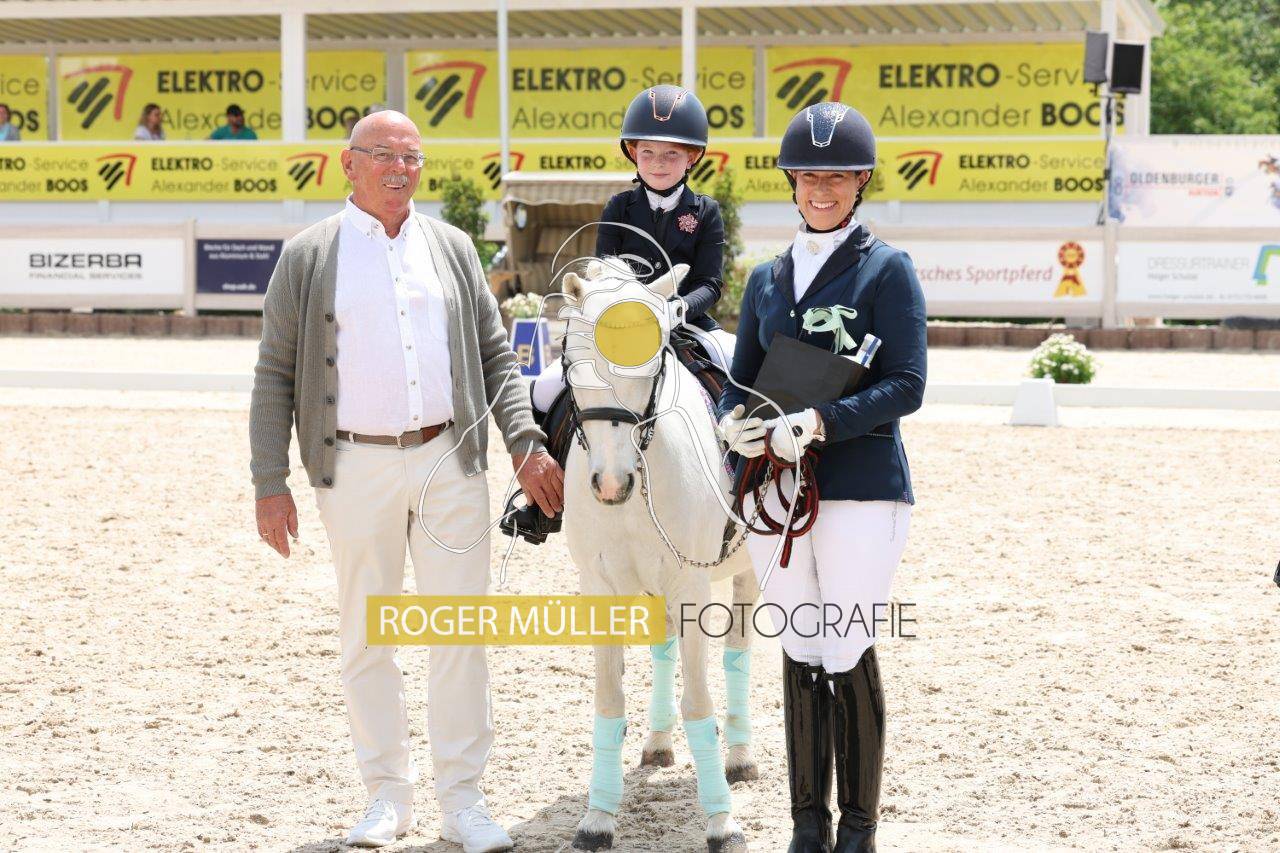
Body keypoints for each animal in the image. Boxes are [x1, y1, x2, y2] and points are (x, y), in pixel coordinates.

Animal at [557, 258, 758, 853]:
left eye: (648, 366)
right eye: (572, 363)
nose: (611, 483)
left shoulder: (690, 588)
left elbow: (700, 702)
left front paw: (722, 823)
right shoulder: (600, 589)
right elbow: (608, 699)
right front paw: (598, 818)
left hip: (746, 574)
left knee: (738, 653)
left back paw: (740, 759)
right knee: (664, 648)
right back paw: (659, 743)